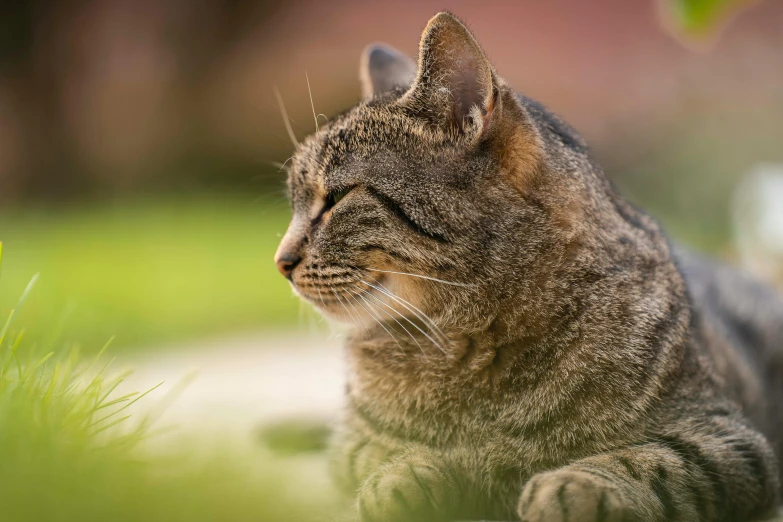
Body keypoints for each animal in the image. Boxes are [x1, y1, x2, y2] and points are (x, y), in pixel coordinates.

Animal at [272, 11, 780, 520]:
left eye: (337, 198)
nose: (280, 261)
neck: (471, 342)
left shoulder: (726, 438)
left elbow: (648, 461)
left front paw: (576, 485)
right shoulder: (352, 443)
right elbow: (384, 455)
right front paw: (410, 479)